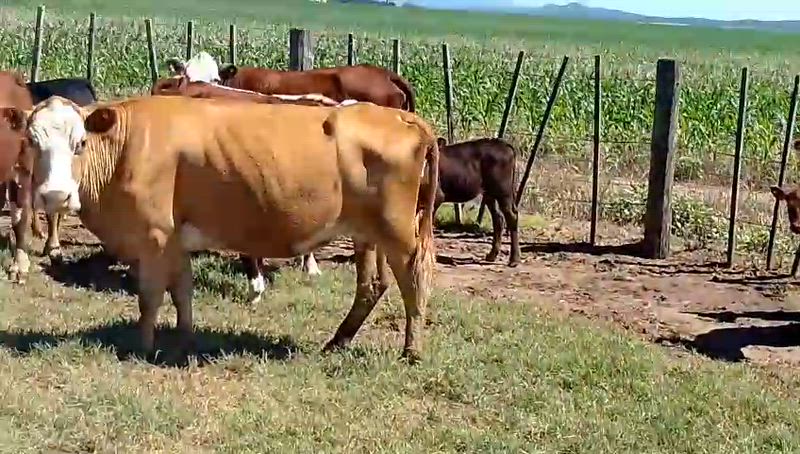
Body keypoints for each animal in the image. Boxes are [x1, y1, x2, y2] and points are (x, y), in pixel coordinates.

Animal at [24, 95, 439, 362]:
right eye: (31, 141)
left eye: (79, 143)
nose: (56, 195)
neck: (126, 147)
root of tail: (400, 116)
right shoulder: (175, 240)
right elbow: (182, 292)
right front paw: (185, 340)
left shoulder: (154, 237)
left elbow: (150, 297)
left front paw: (142, 347)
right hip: (367, 233)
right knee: (372, 286)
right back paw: (337, 342)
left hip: (398, 233)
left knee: (413, 280)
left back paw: (412, 351)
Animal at [435, 136, 520, 267]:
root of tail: (503, 143)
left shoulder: (437, 196)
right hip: (489, 193)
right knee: (498, 218)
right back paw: (492, 255)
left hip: (503, 190)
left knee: (511, 216)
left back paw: (514, 259)